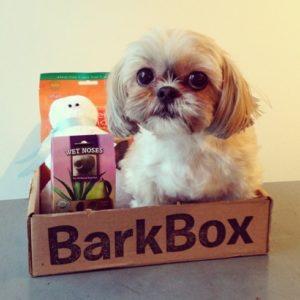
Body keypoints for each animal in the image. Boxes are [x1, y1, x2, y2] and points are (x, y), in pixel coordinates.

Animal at [106, 29, 262, 209]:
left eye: (198, 78)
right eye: (144, 75)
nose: (167, 91)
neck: (183, 139)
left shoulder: (239, 187)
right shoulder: (147, 187)